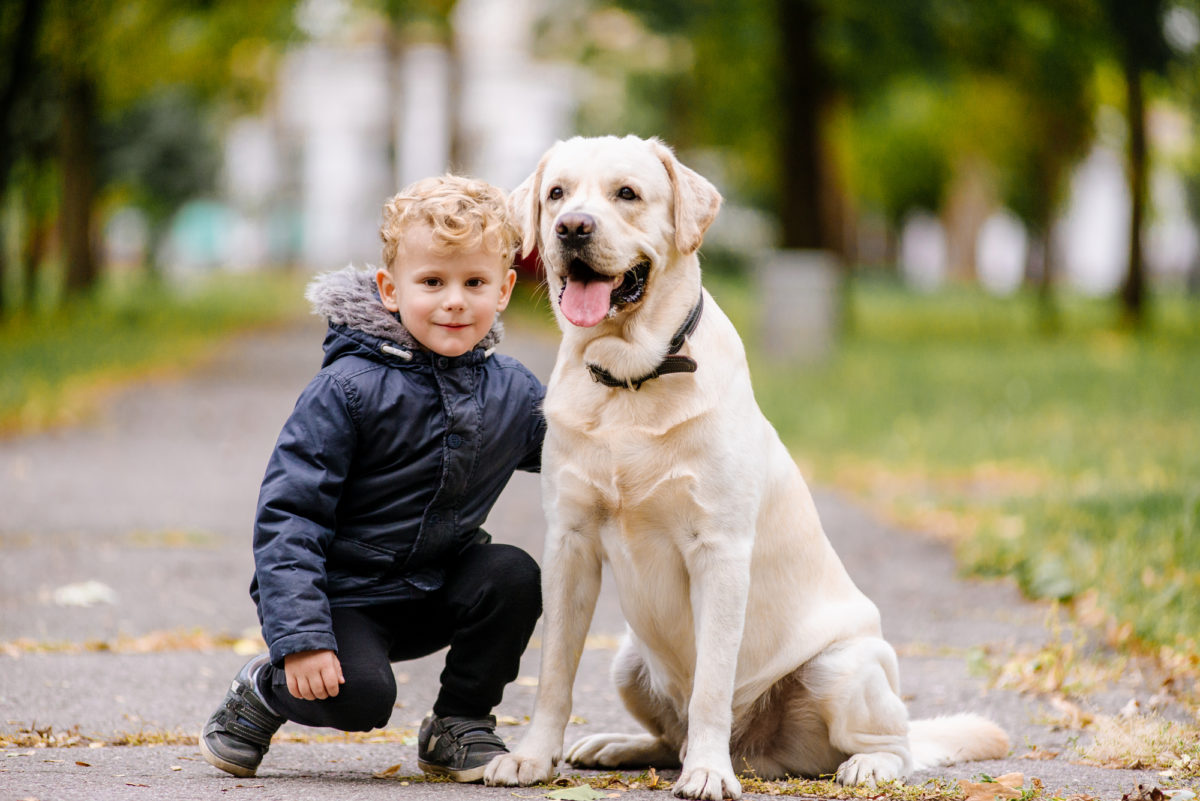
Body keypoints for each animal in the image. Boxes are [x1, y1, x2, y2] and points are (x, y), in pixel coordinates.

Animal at [482, 134, 1008, 796]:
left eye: (626, 194)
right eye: (556, 194)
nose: (572, 227)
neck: (632, 378)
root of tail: (758, 754)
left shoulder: (720, 551)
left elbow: (711, 683)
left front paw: (709, 773)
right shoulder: (569, 543)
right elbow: (554, 671)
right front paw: (531, 757)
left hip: (845, 665)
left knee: (898, 745)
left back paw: (856, 764)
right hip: (628, 659)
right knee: (669, 739)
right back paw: (619, 745)